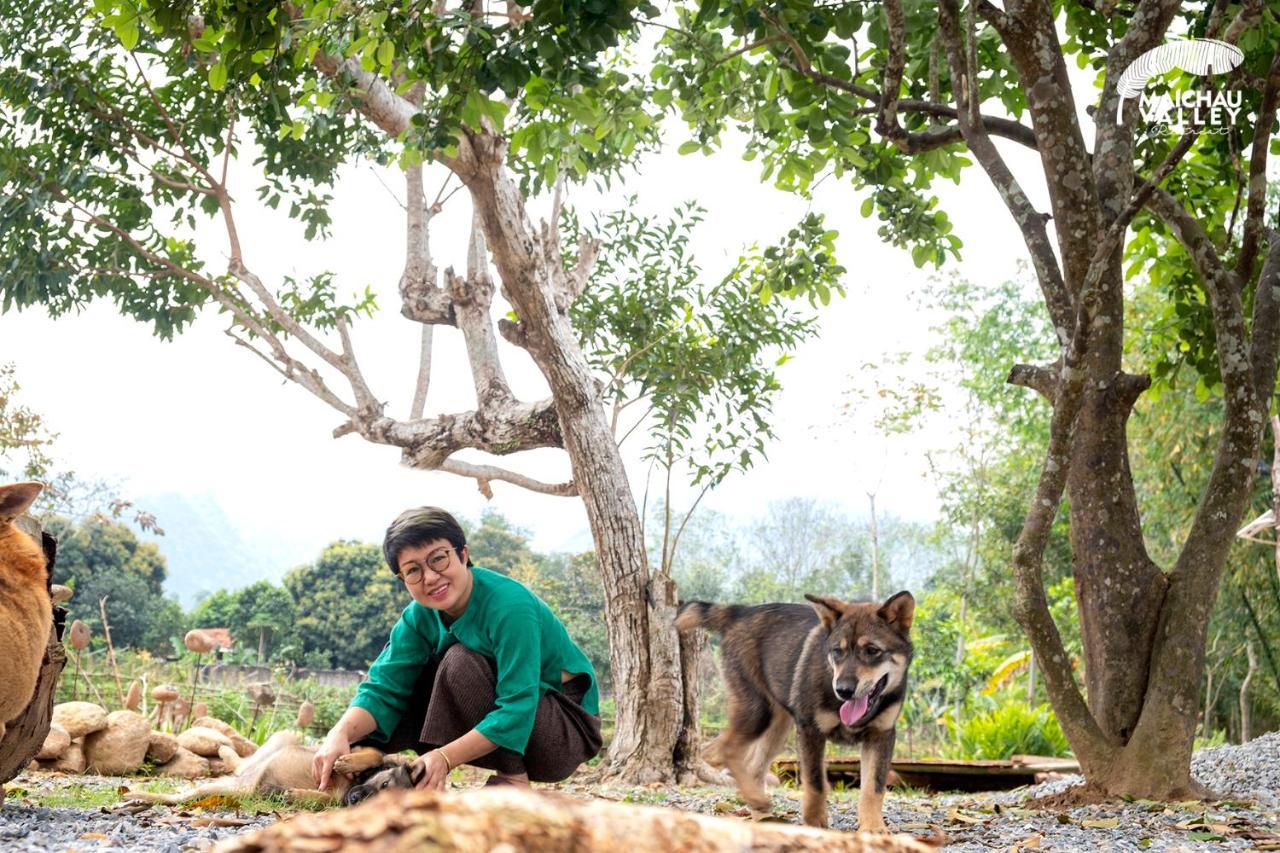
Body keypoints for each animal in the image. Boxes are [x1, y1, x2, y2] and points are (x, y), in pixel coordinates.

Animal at [124, 727, 414, 809]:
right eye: (384, 784)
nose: (354, 800)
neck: (353, 784)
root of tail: (244, 783)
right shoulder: (347, 749)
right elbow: (374, 753)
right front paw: (348, 763)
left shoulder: (335, 799)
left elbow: (325, 800)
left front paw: (298, 795)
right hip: (285, 737)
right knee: (245, 760)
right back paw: (224, 749)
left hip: (223, 790)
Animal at [675, 589, 916, 824]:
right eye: (837, 651)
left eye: (873, 650)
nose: (843, 690)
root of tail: (740, 612)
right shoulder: (810, 731)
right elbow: (815, 785)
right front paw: (816, 825)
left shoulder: (881, 735)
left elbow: (872, 790)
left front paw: (873, 828)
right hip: (758, 713)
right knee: (723, 749)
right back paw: (756, 800)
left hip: (778, 727)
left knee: (751, 766)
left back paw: (761, 812)